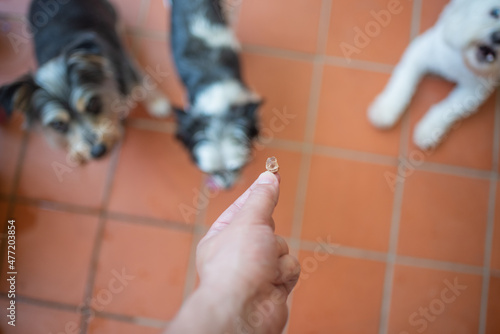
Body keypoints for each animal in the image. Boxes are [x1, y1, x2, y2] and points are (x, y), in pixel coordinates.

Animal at [0, 0, 170, 162]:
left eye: (93, 104)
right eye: (58, 125)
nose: (98, 151)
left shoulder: (122, 60)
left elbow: (138, 81)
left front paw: (157, 103)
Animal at [368, 0, 500, 149]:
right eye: (495, 12)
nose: (497, 37)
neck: (463, 61)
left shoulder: (474, 90)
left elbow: (449, 108)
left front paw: (429, 129)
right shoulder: (421, 52)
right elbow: (403, 83)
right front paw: (386, 108)